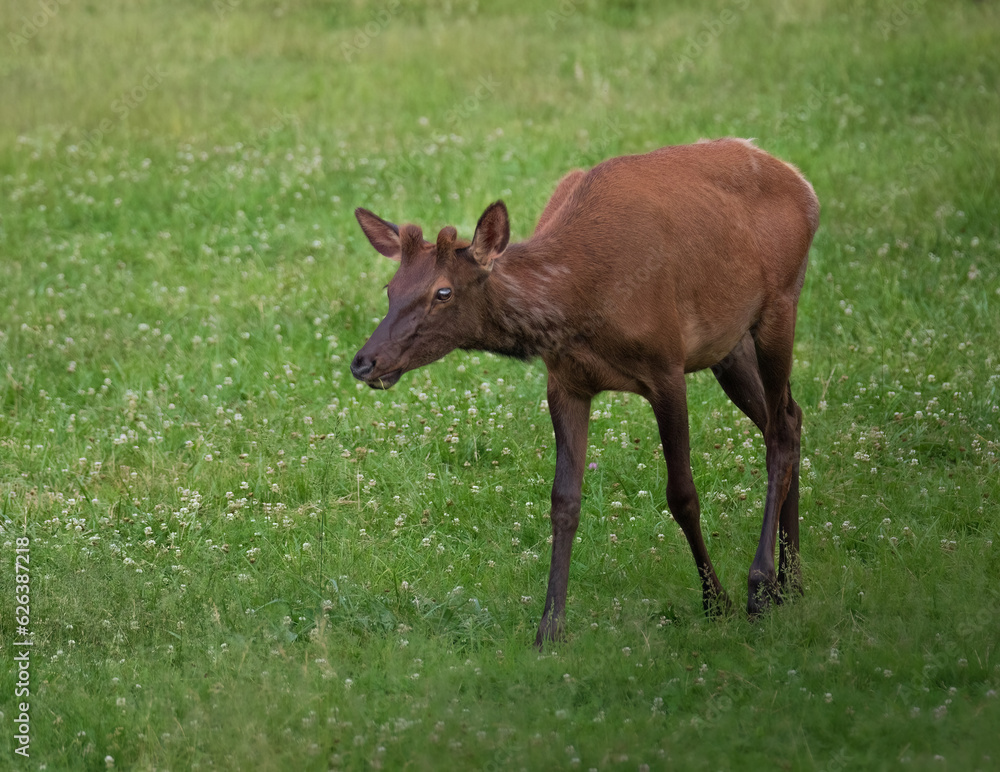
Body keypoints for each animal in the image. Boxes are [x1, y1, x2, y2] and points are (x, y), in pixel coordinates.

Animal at [352, 137, 820, 644]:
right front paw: (549, 628)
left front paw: (716, 601)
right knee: (788, 417)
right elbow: (564, 503)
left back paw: (762, 584)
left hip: (781, 303)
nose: (364, 362)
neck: (580, 304)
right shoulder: (566, 382)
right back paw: (793, 580)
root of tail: (802, 184)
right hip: (729, 343)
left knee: (779, 432)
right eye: (390, 288)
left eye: (443, 292)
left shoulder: (667, 366)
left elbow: (682, 495)